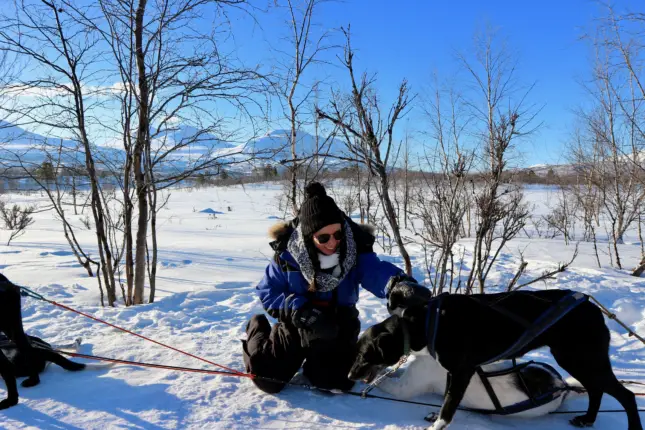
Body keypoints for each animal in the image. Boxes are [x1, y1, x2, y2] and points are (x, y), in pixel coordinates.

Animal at [350, 282, 640, 430]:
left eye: (363, 354)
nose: (349, 374)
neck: (425, 324)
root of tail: (593, 308)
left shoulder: (461, 370)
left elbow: (447, 408)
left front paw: (436, 423)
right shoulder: (452, 373)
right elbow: (446, 399)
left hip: (582, 360)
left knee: (625, 395)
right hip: (578, 362)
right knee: (596, 390)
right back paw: (587, 419)